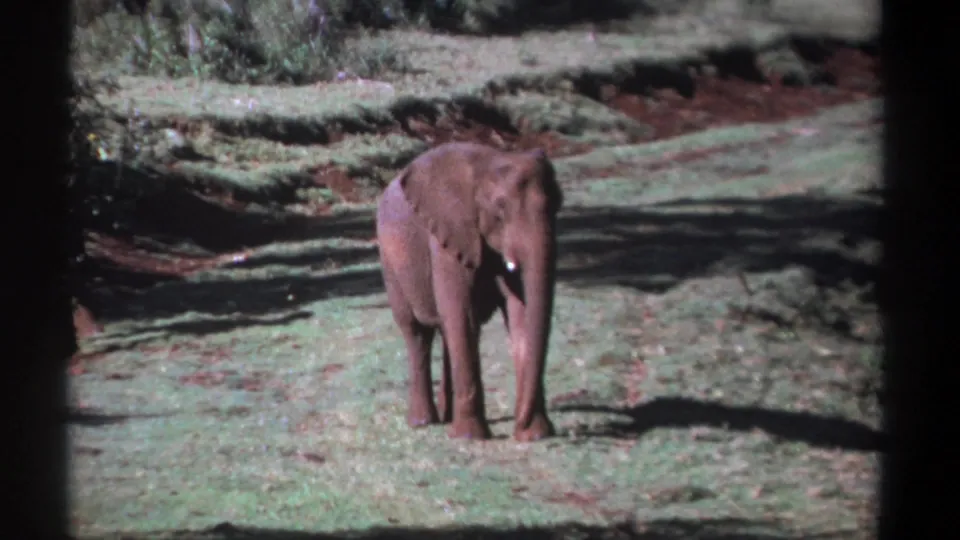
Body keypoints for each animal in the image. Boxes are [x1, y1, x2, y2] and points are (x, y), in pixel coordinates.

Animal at [375, 142, 564, 442]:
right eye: (500, 207)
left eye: (558, 204)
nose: (518, 425)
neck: (490, 161)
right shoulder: (447, 236)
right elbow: (461, 315)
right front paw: (469, 437)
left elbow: (519, 314)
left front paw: (534, 435)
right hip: (390, 263)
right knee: (417, 333)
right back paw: (423, 422)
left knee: (444, 332)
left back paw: (446, 417)